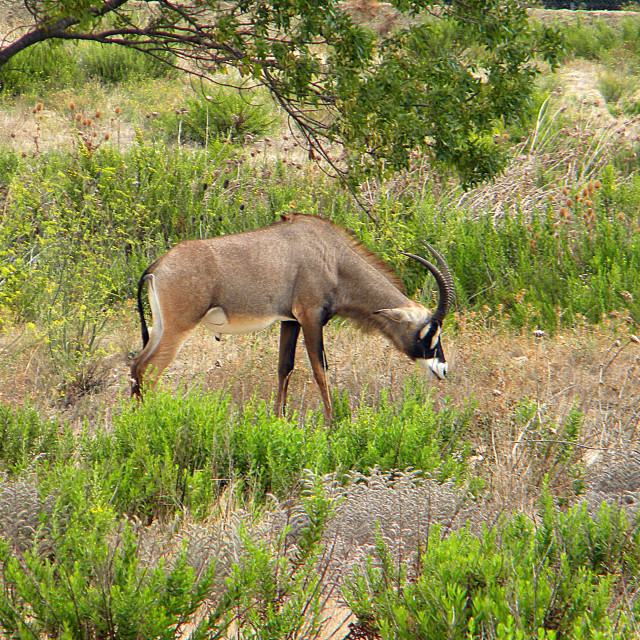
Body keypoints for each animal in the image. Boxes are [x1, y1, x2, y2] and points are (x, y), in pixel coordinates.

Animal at [130, 212, 452, 418]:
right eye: (429, 332)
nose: (443, 370)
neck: (332, 256)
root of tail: (157, 266)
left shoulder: (290, 321)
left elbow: (284, 367)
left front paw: (279, 419)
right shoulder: (310, 317)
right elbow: (320, 369)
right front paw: (331, 424)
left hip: (162, 328)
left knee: (136, 366)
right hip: (178, 328)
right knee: (149, 369)